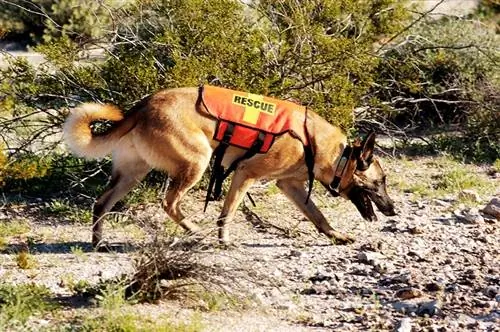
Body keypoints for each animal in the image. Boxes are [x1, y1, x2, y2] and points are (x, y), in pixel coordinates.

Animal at [64, 87, 396, 248]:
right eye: (380, 182)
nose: (393, 210)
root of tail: (142, 106)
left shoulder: (290, 186)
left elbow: (318, 216)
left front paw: (336, 236)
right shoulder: (245, 175)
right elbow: (227, 214)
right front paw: (223, 241)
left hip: (132, 174)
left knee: (101, 203)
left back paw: (98, 243)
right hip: (196, 163)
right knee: (170, 203)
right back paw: (195, 231)